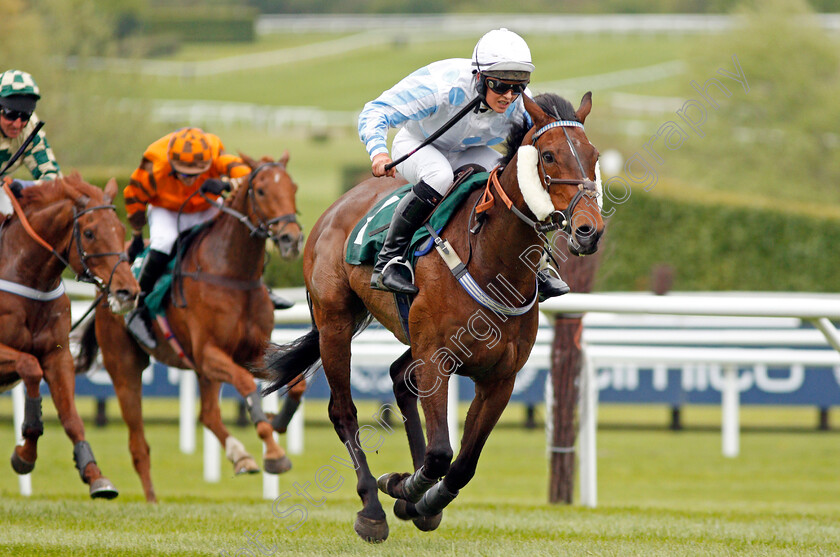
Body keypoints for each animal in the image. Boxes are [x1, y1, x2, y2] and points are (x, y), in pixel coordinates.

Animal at [0, 174, 139, 496]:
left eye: (120, 228)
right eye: (89, 233)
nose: (128, 292)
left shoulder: (58, 355)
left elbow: (71, 416)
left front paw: (94, 474)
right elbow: (29, 366)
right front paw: (25, 454)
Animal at [74, 151, 306, 500]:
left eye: (293, 188)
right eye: (262, 190)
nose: (291, 238)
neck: (232, 274)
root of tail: (107, 284)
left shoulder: (249, 353)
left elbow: (297, 381)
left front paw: (278, 420)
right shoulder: (210, 353)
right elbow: (247, 385)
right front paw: (275, 452)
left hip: (199, 370)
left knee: (207, 414)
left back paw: (241, 456)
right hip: (125, 366)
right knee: (138, 443)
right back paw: (152, 500)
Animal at [258, 93, 604, 540]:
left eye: (593, 156)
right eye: (547, 156)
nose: (588, 230)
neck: (491, 261)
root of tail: (335, 209)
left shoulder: (499, 377)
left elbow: (464, 464)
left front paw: (421, 500)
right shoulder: (436, 359)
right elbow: (441, 453)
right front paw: (404, 487)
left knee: (398, 377)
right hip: (335, 322)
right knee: (344, 412)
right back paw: (372, 508)